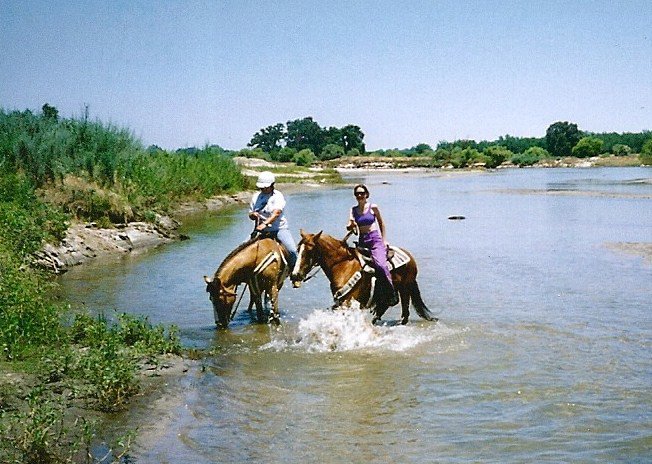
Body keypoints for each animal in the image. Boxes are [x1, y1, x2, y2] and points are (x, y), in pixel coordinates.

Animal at [292, 230, 438, 324]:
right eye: (298, 249)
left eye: (309, 250)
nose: (295, 275)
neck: (342, 265)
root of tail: (410, 257)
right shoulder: (341, 302)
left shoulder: (349, 302)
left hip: (405, 288)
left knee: (403, 309)